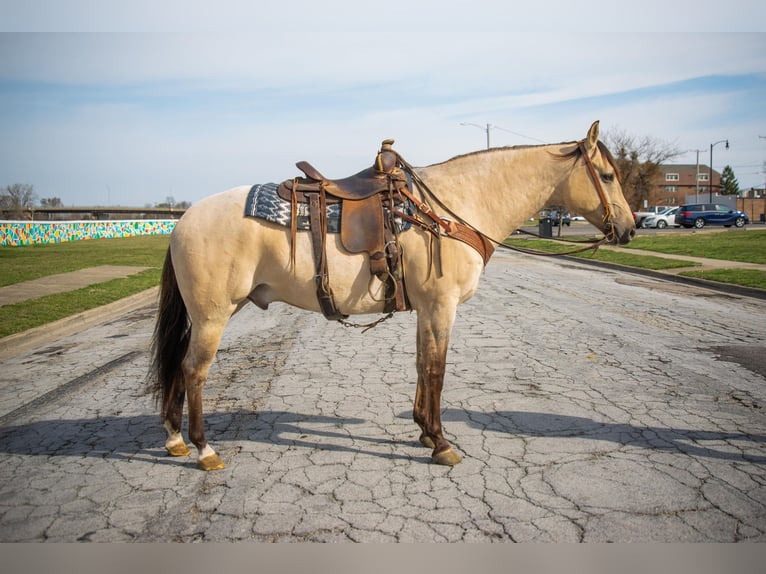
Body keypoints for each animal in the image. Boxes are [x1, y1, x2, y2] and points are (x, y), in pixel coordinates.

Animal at [148, 121, 636, 472]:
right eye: (606, 175)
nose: (630, 229)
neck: (450, 208)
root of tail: (183, 220)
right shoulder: (441, 306)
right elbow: (437, 371)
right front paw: (441, 443)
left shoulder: (427, 309)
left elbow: (422, 366)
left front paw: (424, 431)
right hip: (212, 316)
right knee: (194, 371)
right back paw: (204, 449)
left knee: (178, 366)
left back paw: (173, 440)